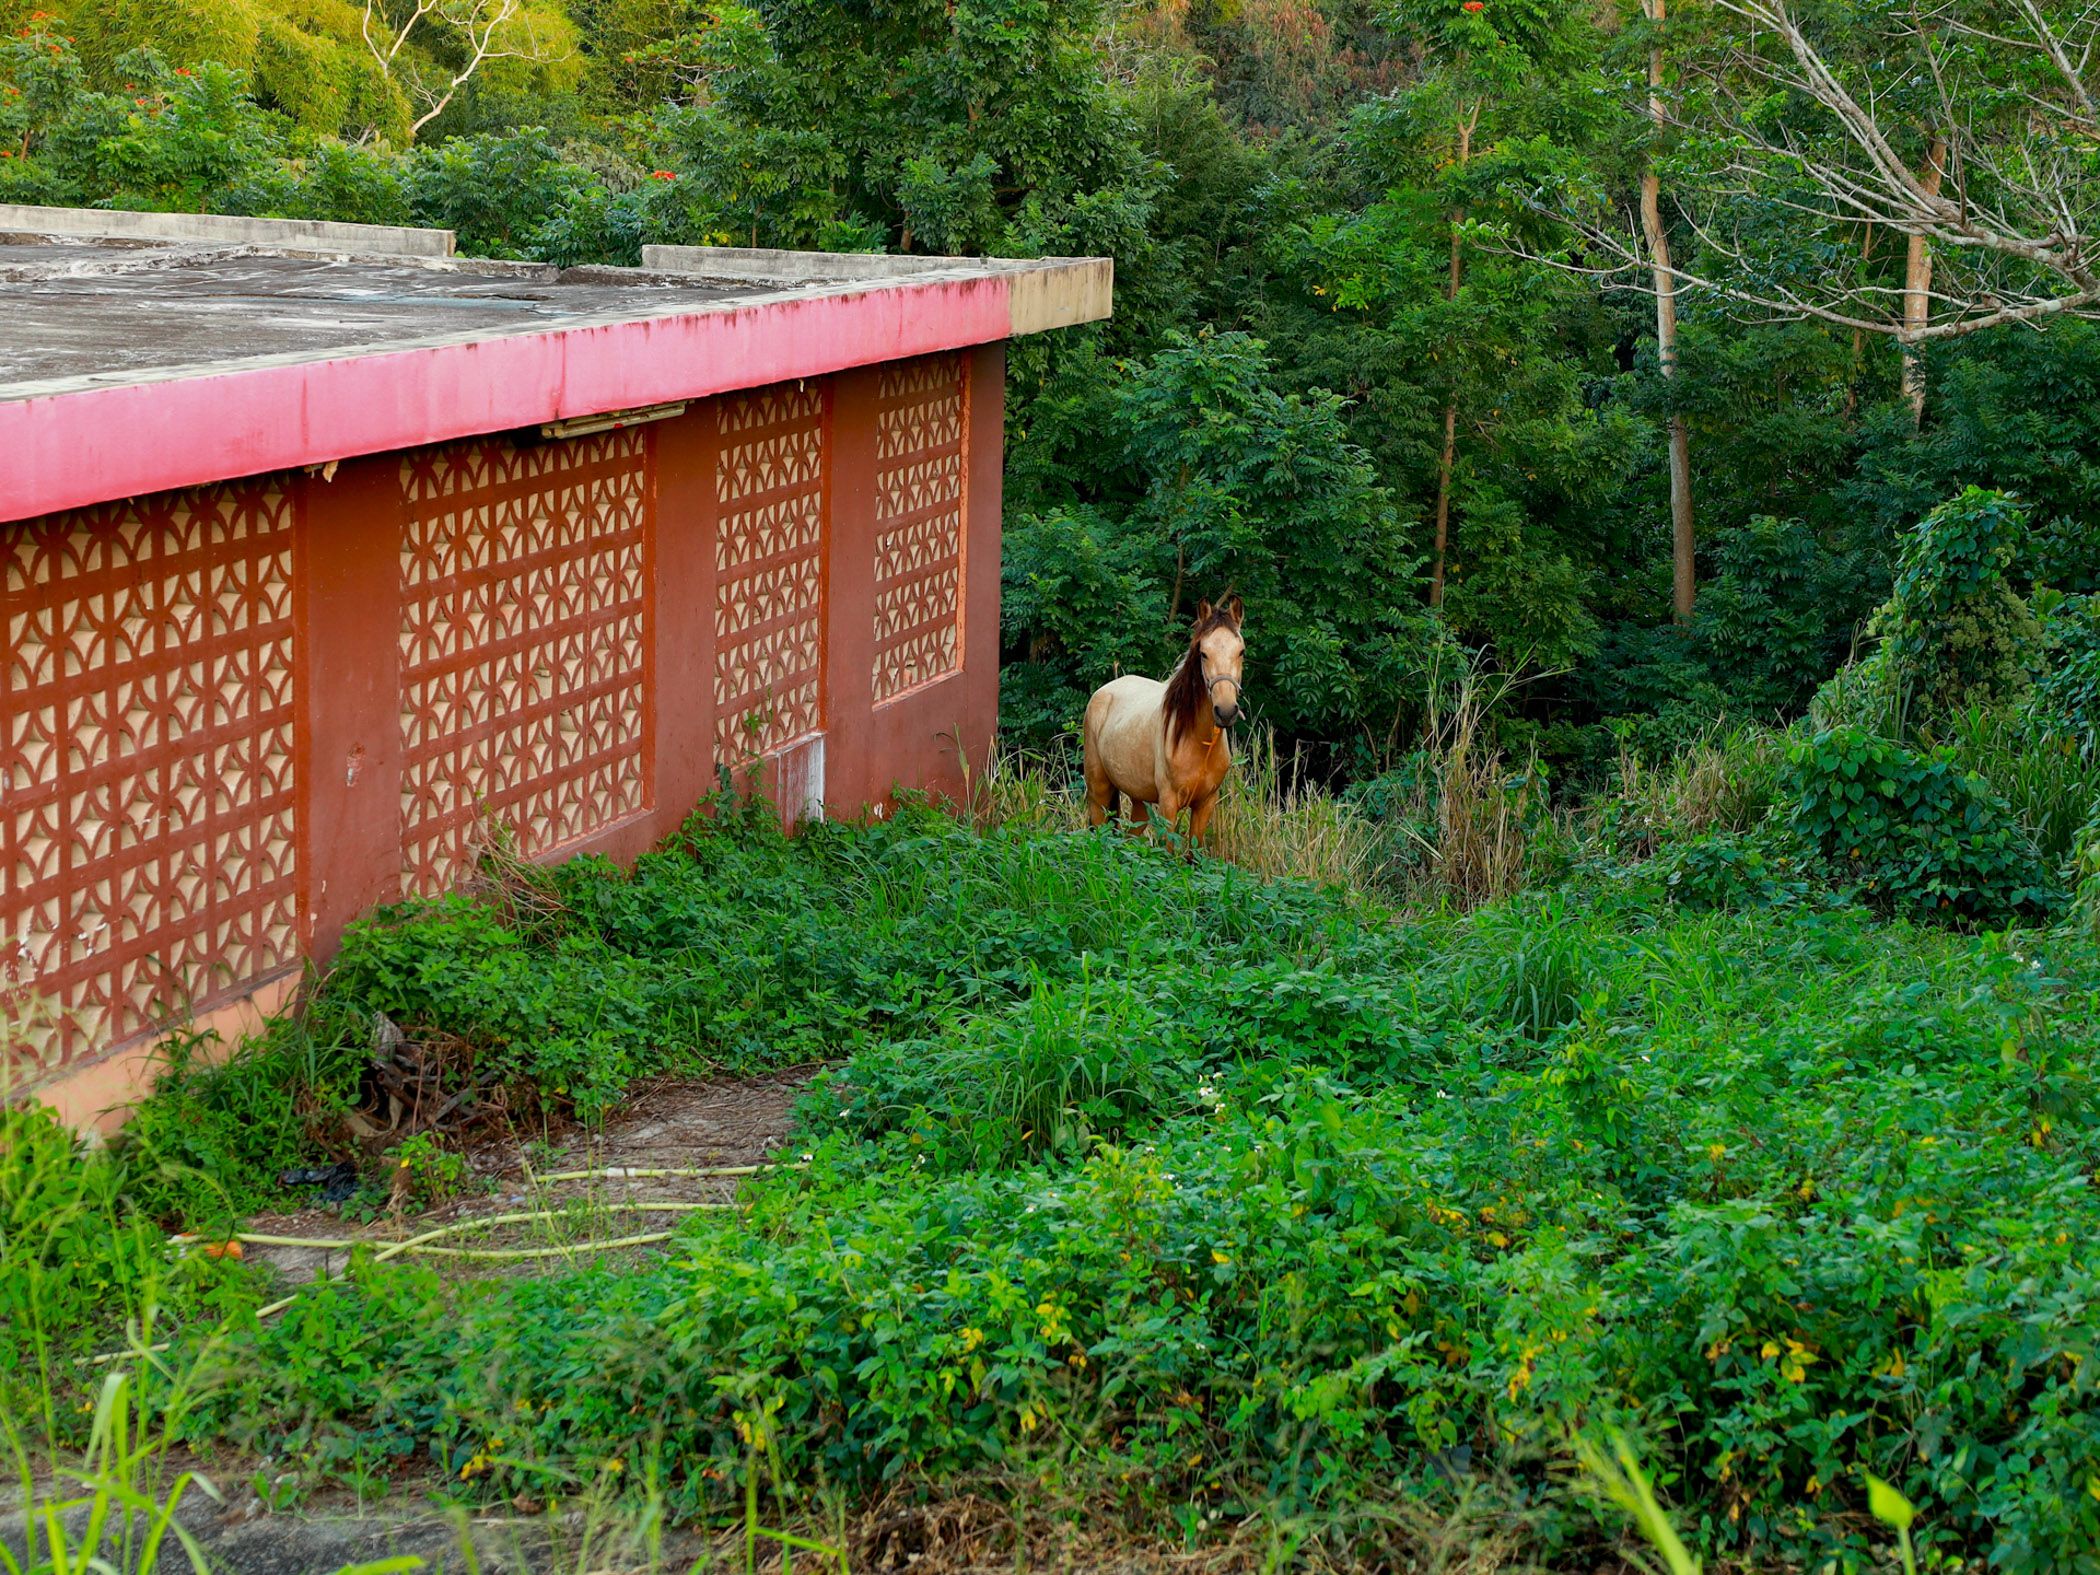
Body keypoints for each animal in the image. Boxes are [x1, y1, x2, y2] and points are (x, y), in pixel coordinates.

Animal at [1083, 596, 1243, 852]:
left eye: (1241, 651)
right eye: (1203, 653)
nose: (1226, 711)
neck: (1197, 741)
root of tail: (1104, 690)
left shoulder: (1205, 804)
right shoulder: (1168, 803)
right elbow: (1168, 853)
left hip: (1139, 800)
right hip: (1098, 789)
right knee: (1099, 831)